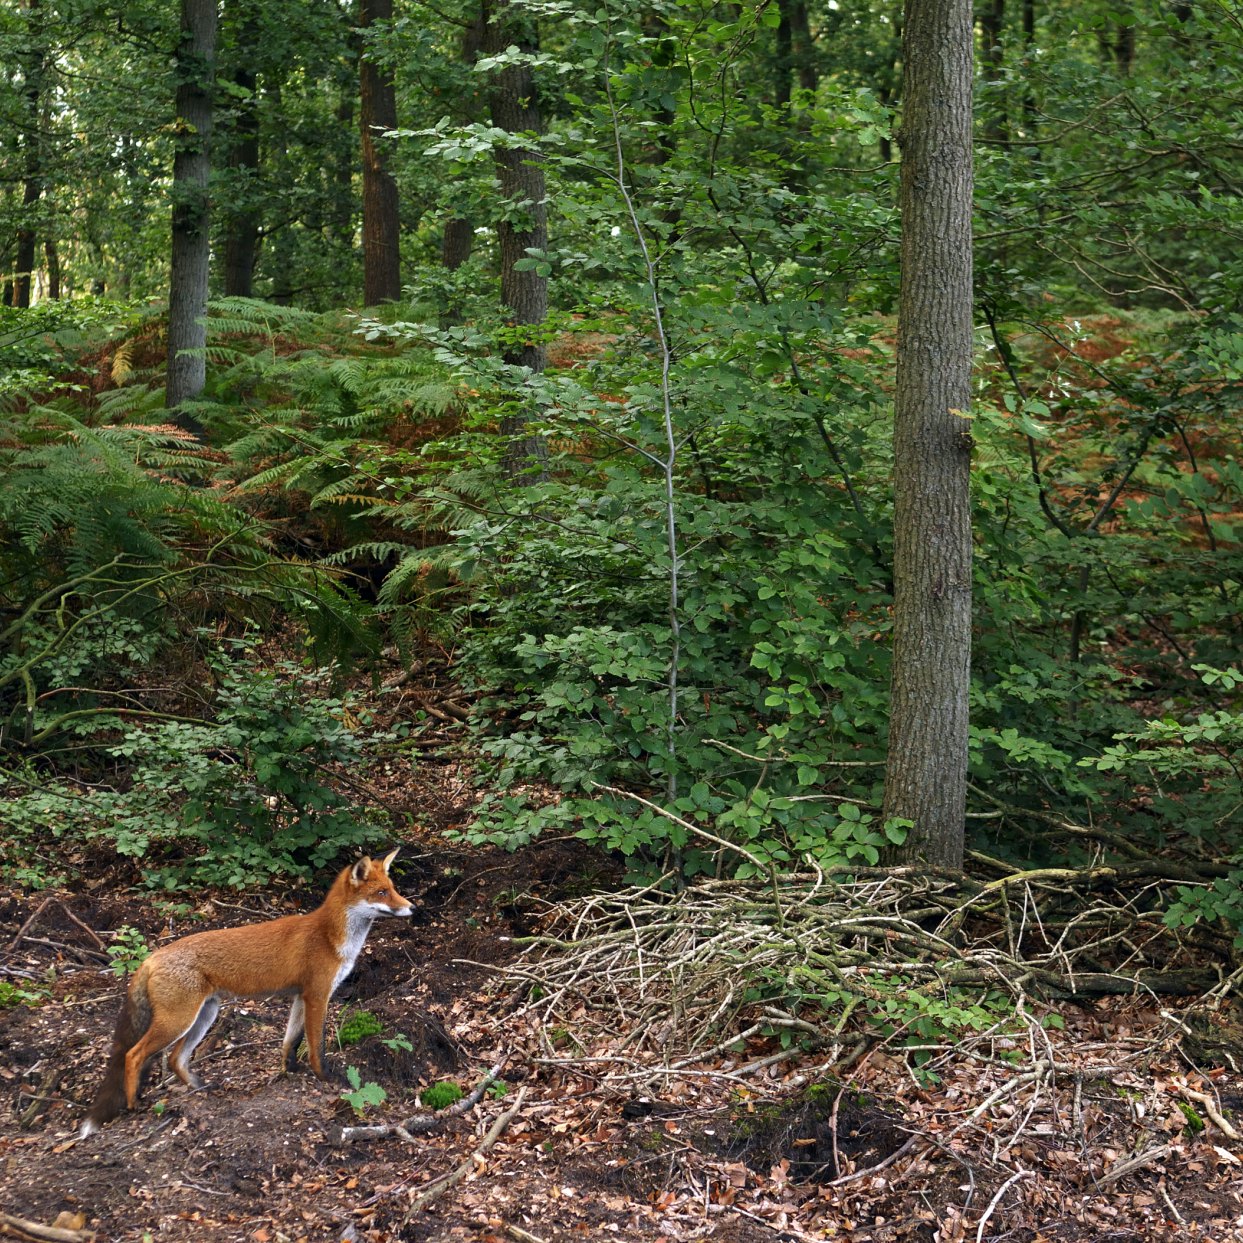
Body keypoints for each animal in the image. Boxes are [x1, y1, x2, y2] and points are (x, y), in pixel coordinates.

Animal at [80, 849, 412, 1137]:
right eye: (381, 893)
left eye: (393, 889)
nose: (413, 908)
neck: (330, 937)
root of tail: (151, 956)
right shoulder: (317, 995)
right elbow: (316, 1046)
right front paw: (325, 1078)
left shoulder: (299, 997)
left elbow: (290, 1041)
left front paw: (288, 1071)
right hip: (178, 1021)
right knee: (134, 1055)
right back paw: (134, 1103)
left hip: (204, 1015)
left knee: (176, 1059)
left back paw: (200, 1088)